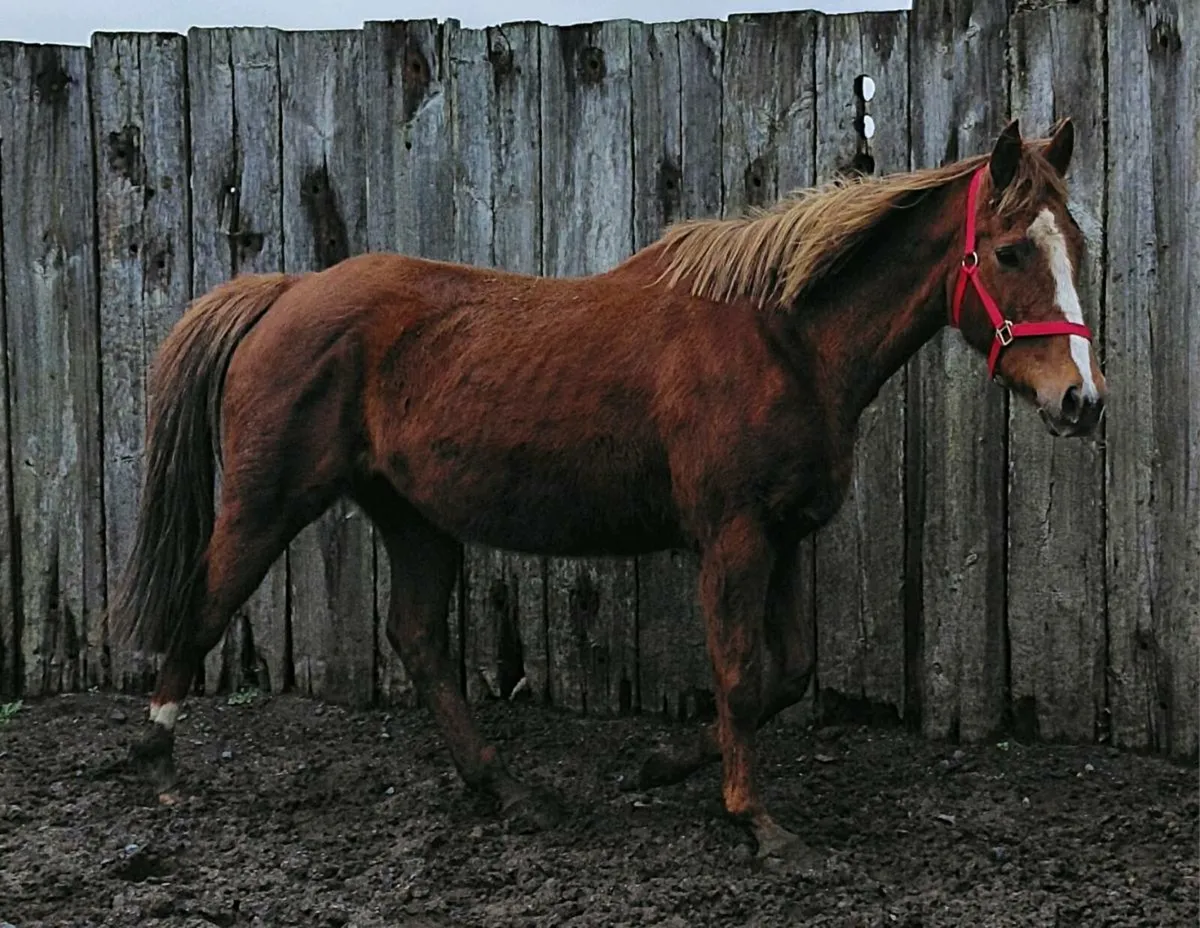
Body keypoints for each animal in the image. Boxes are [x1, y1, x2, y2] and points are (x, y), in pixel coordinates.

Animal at [110, 117, 1106, 863]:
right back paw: (154, 759)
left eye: (1076, 247)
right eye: (1011, 251)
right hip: (265, 502)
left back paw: (508, 790)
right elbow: (740, 673)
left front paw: (662, 766)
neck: (782, 339)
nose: (1081, 400)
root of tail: (288, 292)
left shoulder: (782, 537)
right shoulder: (733, 538)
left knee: (420, 641)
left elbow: (783, 673)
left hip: (415, 519)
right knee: (205, 604)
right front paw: (755, 819)